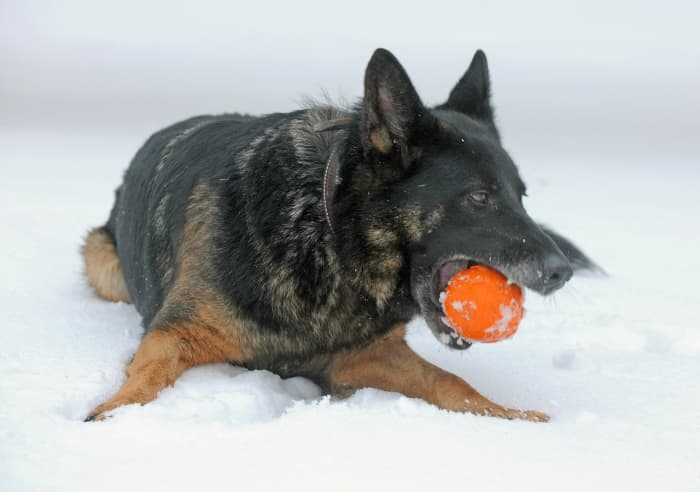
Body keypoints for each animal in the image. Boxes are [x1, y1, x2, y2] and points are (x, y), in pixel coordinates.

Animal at [83, 49, 596, 422]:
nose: (561, 272)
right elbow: (146, 378)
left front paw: (515, 417)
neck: (327, 238)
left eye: (521, 197)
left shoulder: (364, 358)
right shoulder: (173, 334)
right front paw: (112, 414)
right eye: (479, 197)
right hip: (101, 264)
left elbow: (451, 383)